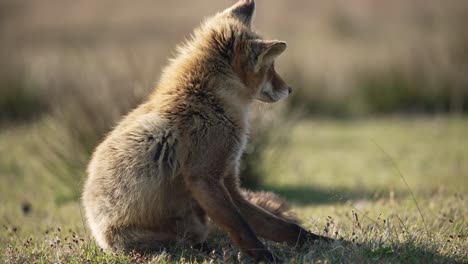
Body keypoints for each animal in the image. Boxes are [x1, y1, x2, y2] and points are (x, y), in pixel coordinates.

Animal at [81, 0, 330, 260]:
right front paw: (264, 257)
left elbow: (276, 225)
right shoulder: (204, 176)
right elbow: (241, 226)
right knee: (187, 242)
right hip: (173, 231)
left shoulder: (228, 178)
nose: (290, 89)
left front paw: (323, 242)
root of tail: (102, 240)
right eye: (270, 67)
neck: (208, 98)